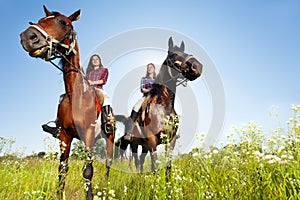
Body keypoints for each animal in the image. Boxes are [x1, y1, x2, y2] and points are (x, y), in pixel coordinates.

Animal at [19, 5, 113, 199]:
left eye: (63, 22)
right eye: (40, 20)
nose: (28, 37)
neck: (76, 95)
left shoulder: (89, 134)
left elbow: (88, 170)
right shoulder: (64, 136)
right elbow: (62, 169)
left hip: (109, 139)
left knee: (108, 164)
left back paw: (106, 188)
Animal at [116, 37, 203, 177]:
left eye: (185, 52)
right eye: (173, 55)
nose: (197, 67)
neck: (164, 107)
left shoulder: (171, 141)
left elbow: (167, 166)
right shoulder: (152, 141)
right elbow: (155, 166)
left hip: (144, 146)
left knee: (141, 161)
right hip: (135, 144)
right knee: (136, 162)